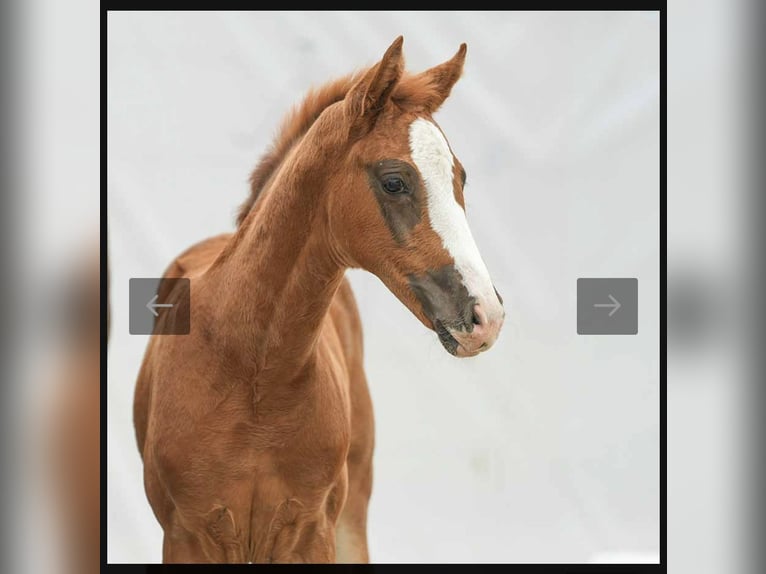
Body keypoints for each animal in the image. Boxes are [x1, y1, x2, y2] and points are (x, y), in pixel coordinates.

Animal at [135, 37, 508, 568]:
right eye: (394, 181)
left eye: (460, 177)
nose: (485, 317)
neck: (253, 375)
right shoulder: (187, 536)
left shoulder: (312, 531)